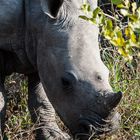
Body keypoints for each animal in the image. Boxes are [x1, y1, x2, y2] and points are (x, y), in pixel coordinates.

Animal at [0, 0, 122, 139]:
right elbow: (1, 101)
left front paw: (54, 136)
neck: (38, 19)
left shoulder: (40, 51)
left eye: (108, 73)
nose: (104, 132)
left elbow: (41, 98)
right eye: (65, 82)